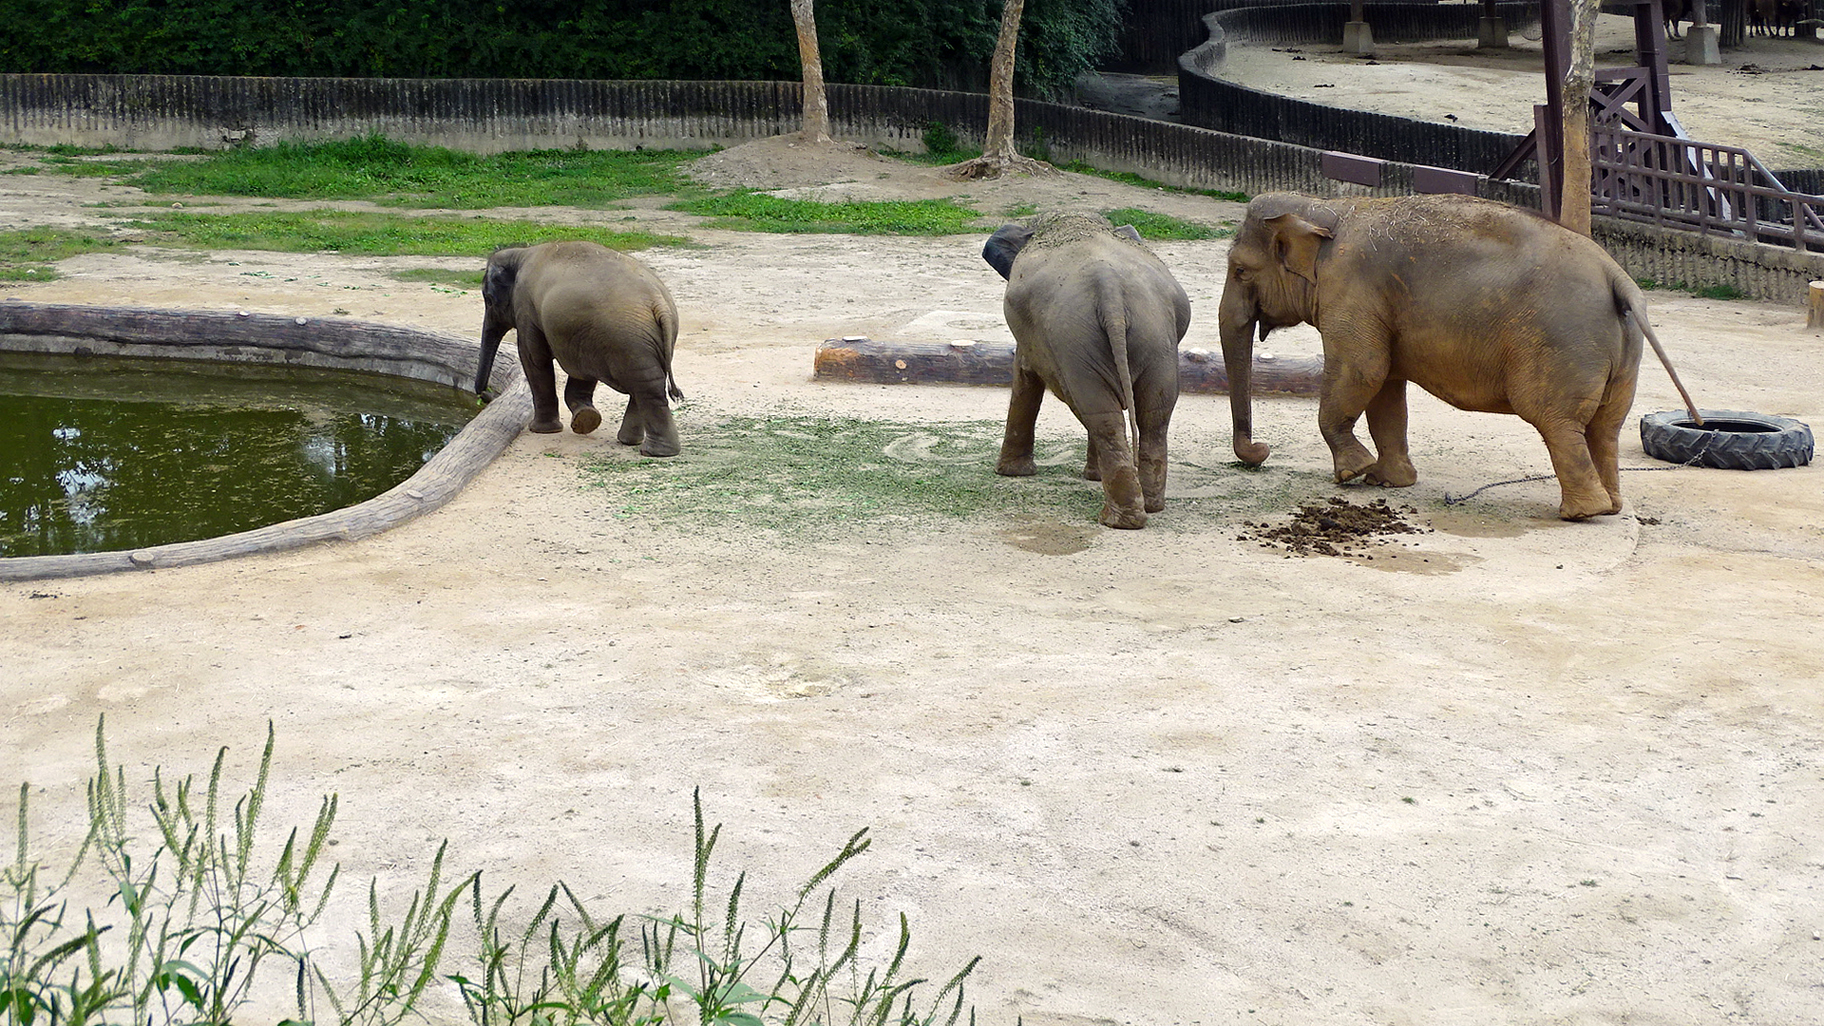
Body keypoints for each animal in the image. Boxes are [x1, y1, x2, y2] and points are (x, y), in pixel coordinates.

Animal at [475, 240, 685, 456]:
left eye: (488, 299)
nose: (484, 394)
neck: (520, 254)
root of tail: (659, 303)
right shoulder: (581, 336)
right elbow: (581, 369)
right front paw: (586, 418)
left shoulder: (525, 307)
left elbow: (534, 358)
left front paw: (543, 430)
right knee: (647, 384)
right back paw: (632, 442)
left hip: (628, 341)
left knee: (645, 387)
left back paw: (654, 451)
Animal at [982, 213, 1192, 529]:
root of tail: (1111, 288)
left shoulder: (1031, 335)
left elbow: (1025, 377)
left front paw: (1011, 473)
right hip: (1155, 337)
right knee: (1150, 414)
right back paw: (1149, 507)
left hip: (1075, 339)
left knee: (1099, 414)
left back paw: (1116, 519)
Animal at [1218, 192, 1694, 521]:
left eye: (1240, 270)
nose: (1260, 450)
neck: (1328, 209)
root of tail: (1617, 275)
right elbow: (1387, 389)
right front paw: (1387, 480)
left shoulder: (1351, 292)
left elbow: (1362, 371)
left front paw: (1353, 473)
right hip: (1621, 353)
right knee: (1604, 428)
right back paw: (1610, 506)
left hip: (1563, 345)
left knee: (1557, 421)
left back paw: (1579, 514)